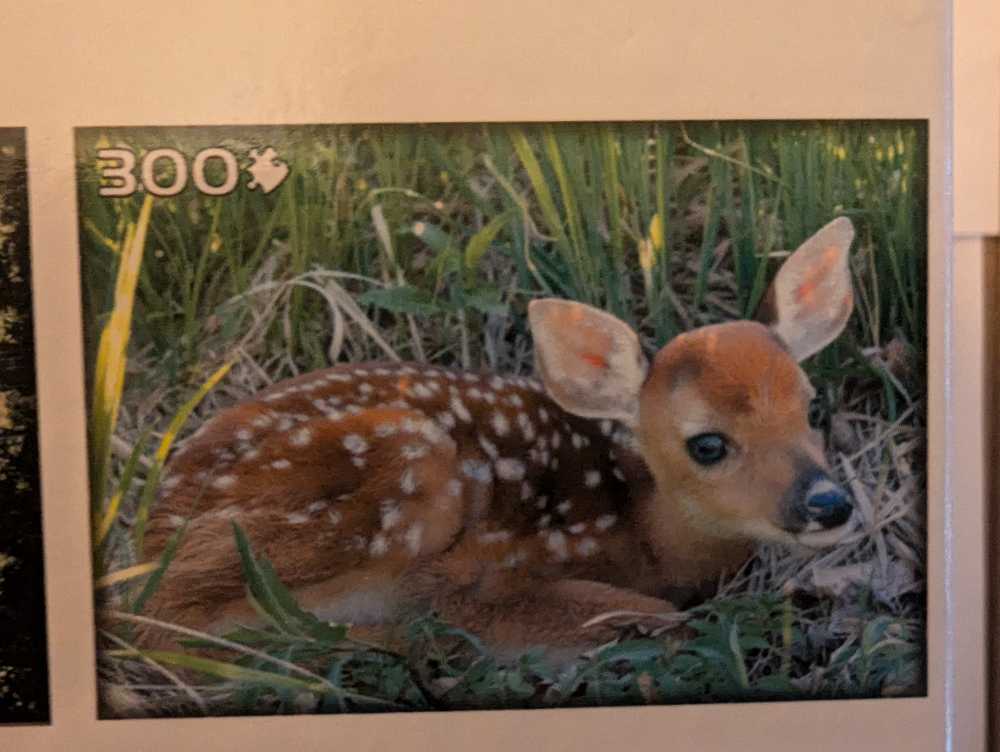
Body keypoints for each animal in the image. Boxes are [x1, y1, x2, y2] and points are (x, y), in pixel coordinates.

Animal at [137, 217, 858, 662]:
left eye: (810, 406)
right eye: (707, 443)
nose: (828, 502)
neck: (641, 529)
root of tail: (151, 535)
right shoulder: (482, 571)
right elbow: (646, 617)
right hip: (403, 470)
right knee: (180, 633)